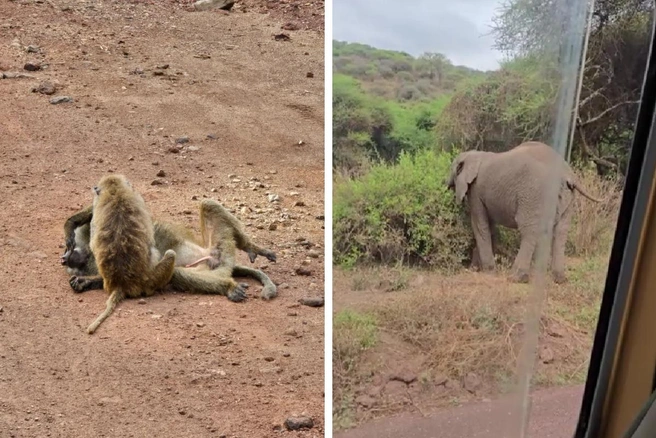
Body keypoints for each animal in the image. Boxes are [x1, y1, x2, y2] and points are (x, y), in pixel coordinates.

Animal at [446, 141, 600, 284]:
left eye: (453, 170)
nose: (445, 183)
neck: (475, 155)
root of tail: (567, 174)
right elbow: (489, 227)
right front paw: (475, 268)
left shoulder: (475, 191)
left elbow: (479, 225)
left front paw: (487, 271)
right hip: (568, 197)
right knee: (561, 232)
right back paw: (559, 279)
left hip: (533, 193)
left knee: (529, 230)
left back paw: (516, 278)